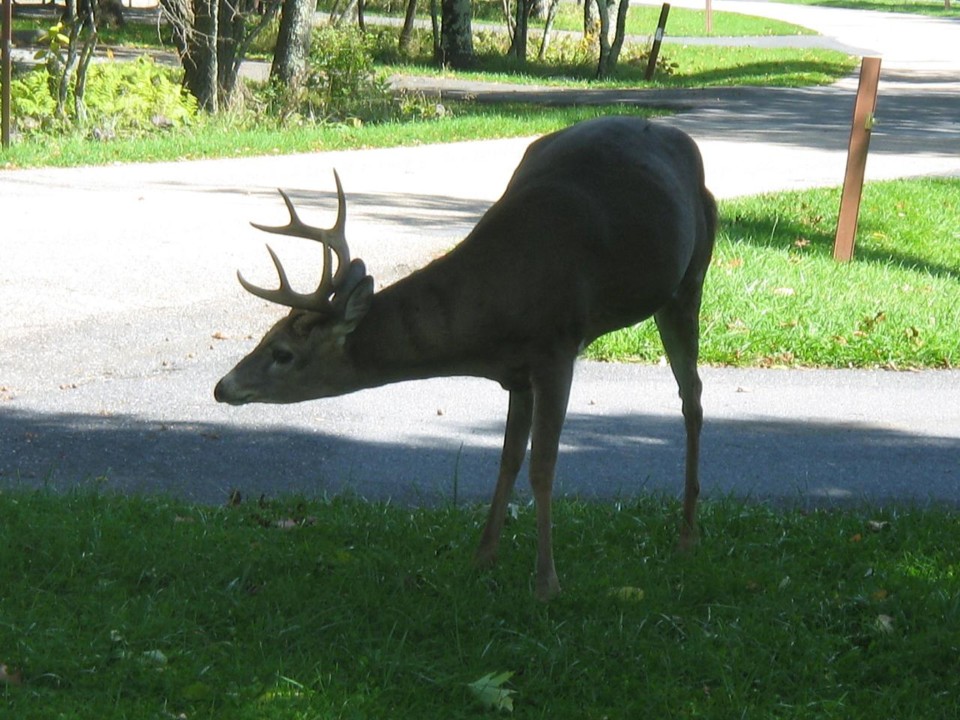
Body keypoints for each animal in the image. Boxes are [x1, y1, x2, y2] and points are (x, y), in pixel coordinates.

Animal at [216, 116, 712, 600]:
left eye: (282, 353)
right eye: (267, 334)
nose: (223, 386)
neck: (493, 313)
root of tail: (674, 135)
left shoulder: (556, 347)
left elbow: (542, 467)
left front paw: (546, 584)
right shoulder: (516, 371)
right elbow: (508, 459)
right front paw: (482, 557)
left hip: (690, 277)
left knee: (692, 396)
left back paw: (688, 537)